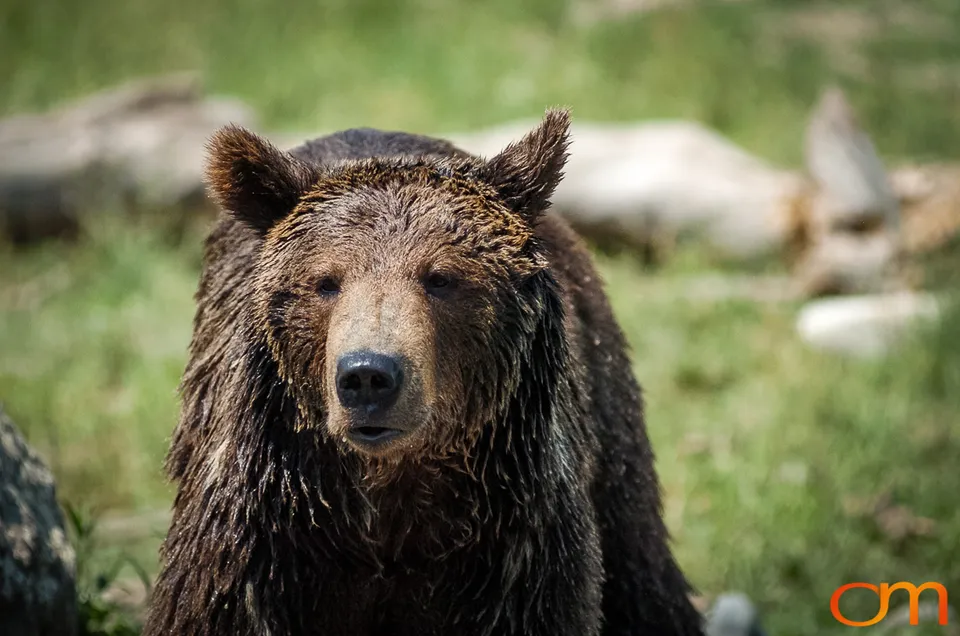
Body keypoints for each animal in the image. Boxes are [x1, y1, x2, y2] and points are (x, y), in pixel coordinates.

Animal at [142, 109, 705, 636]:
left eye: (440, 278)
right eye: (326, 281)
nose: (368, 376)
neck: (387, 502)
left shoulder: (516, 545)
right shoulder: (262, 538)